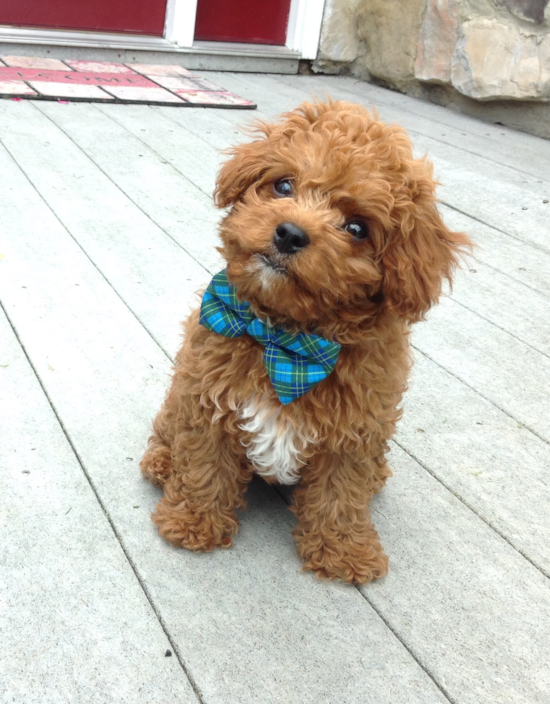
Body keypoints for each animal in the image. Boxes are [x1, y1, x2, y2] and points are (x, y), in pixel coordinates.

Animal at [140, 97, 472, 584]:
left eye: (357, 228)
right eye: (283, 185)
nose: (290, 233)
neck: (286, 342)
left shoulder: (357, 431)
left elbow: (340, 493)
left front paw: (344, 551)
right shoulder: (207, 397)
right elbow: (204, 464)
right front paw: (191, 521)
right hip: (179, 392)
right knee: (168, 428)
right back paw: (162, 462)